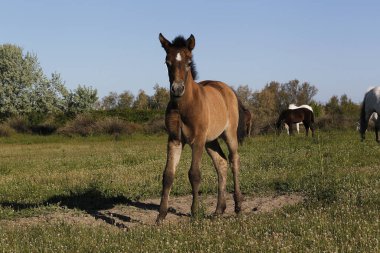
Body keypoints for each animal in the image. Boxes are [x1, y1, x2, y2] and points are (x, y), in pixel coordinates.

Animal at [156, 32, 248, 222]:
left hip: (229, 134)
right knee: (221, 163)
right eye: (167, 62)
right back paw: (219, 209)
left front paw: (195, 213)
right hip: (211, 140)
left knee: (234, 160)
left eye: (189, 62)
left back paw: (238, 206)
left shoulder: (197, 140)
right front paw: (160, 216)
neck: (184, 106)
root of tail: (228, 89)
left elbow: (194, 174)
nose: (177, 89)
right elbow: (168, 175)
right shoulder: (174, 140)